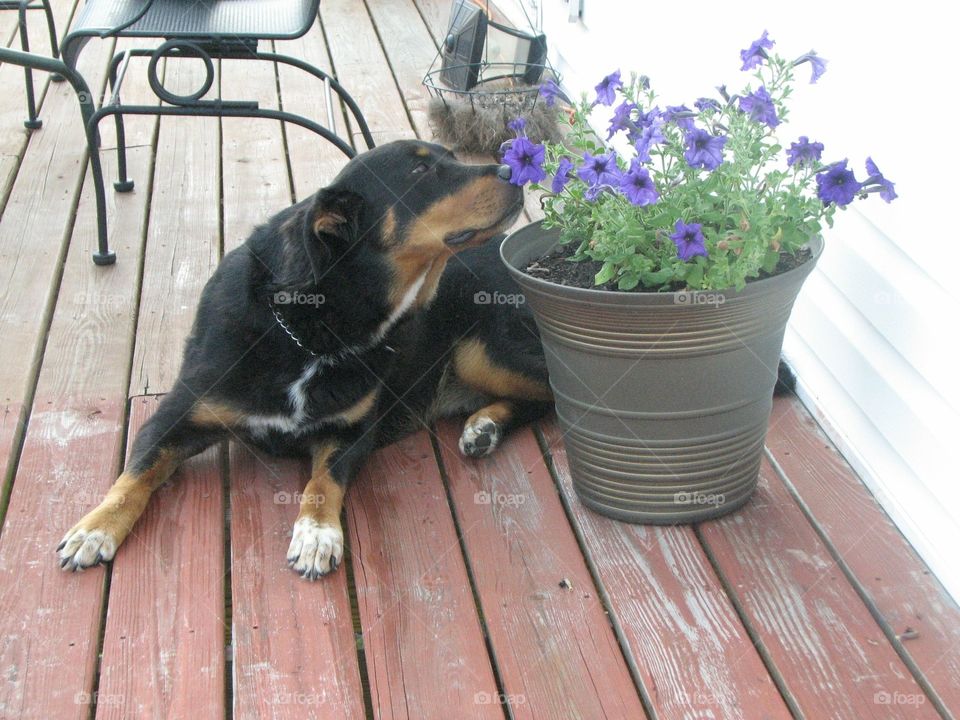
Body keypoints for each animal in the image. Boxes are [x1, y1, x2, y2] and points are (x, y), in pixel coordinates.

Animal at [58, 139, 556, 580]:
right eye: (420, 171)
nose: (516, 169)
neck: (314, 333)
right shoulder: (176, 416)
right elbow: (133, 476)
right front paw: (94, 530)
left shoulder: (351, 431)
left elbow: (323, 483)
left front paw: (317, 535)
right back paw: (484, 426)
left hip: (482, 353)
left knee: (552, 394)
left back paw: (485, 425)